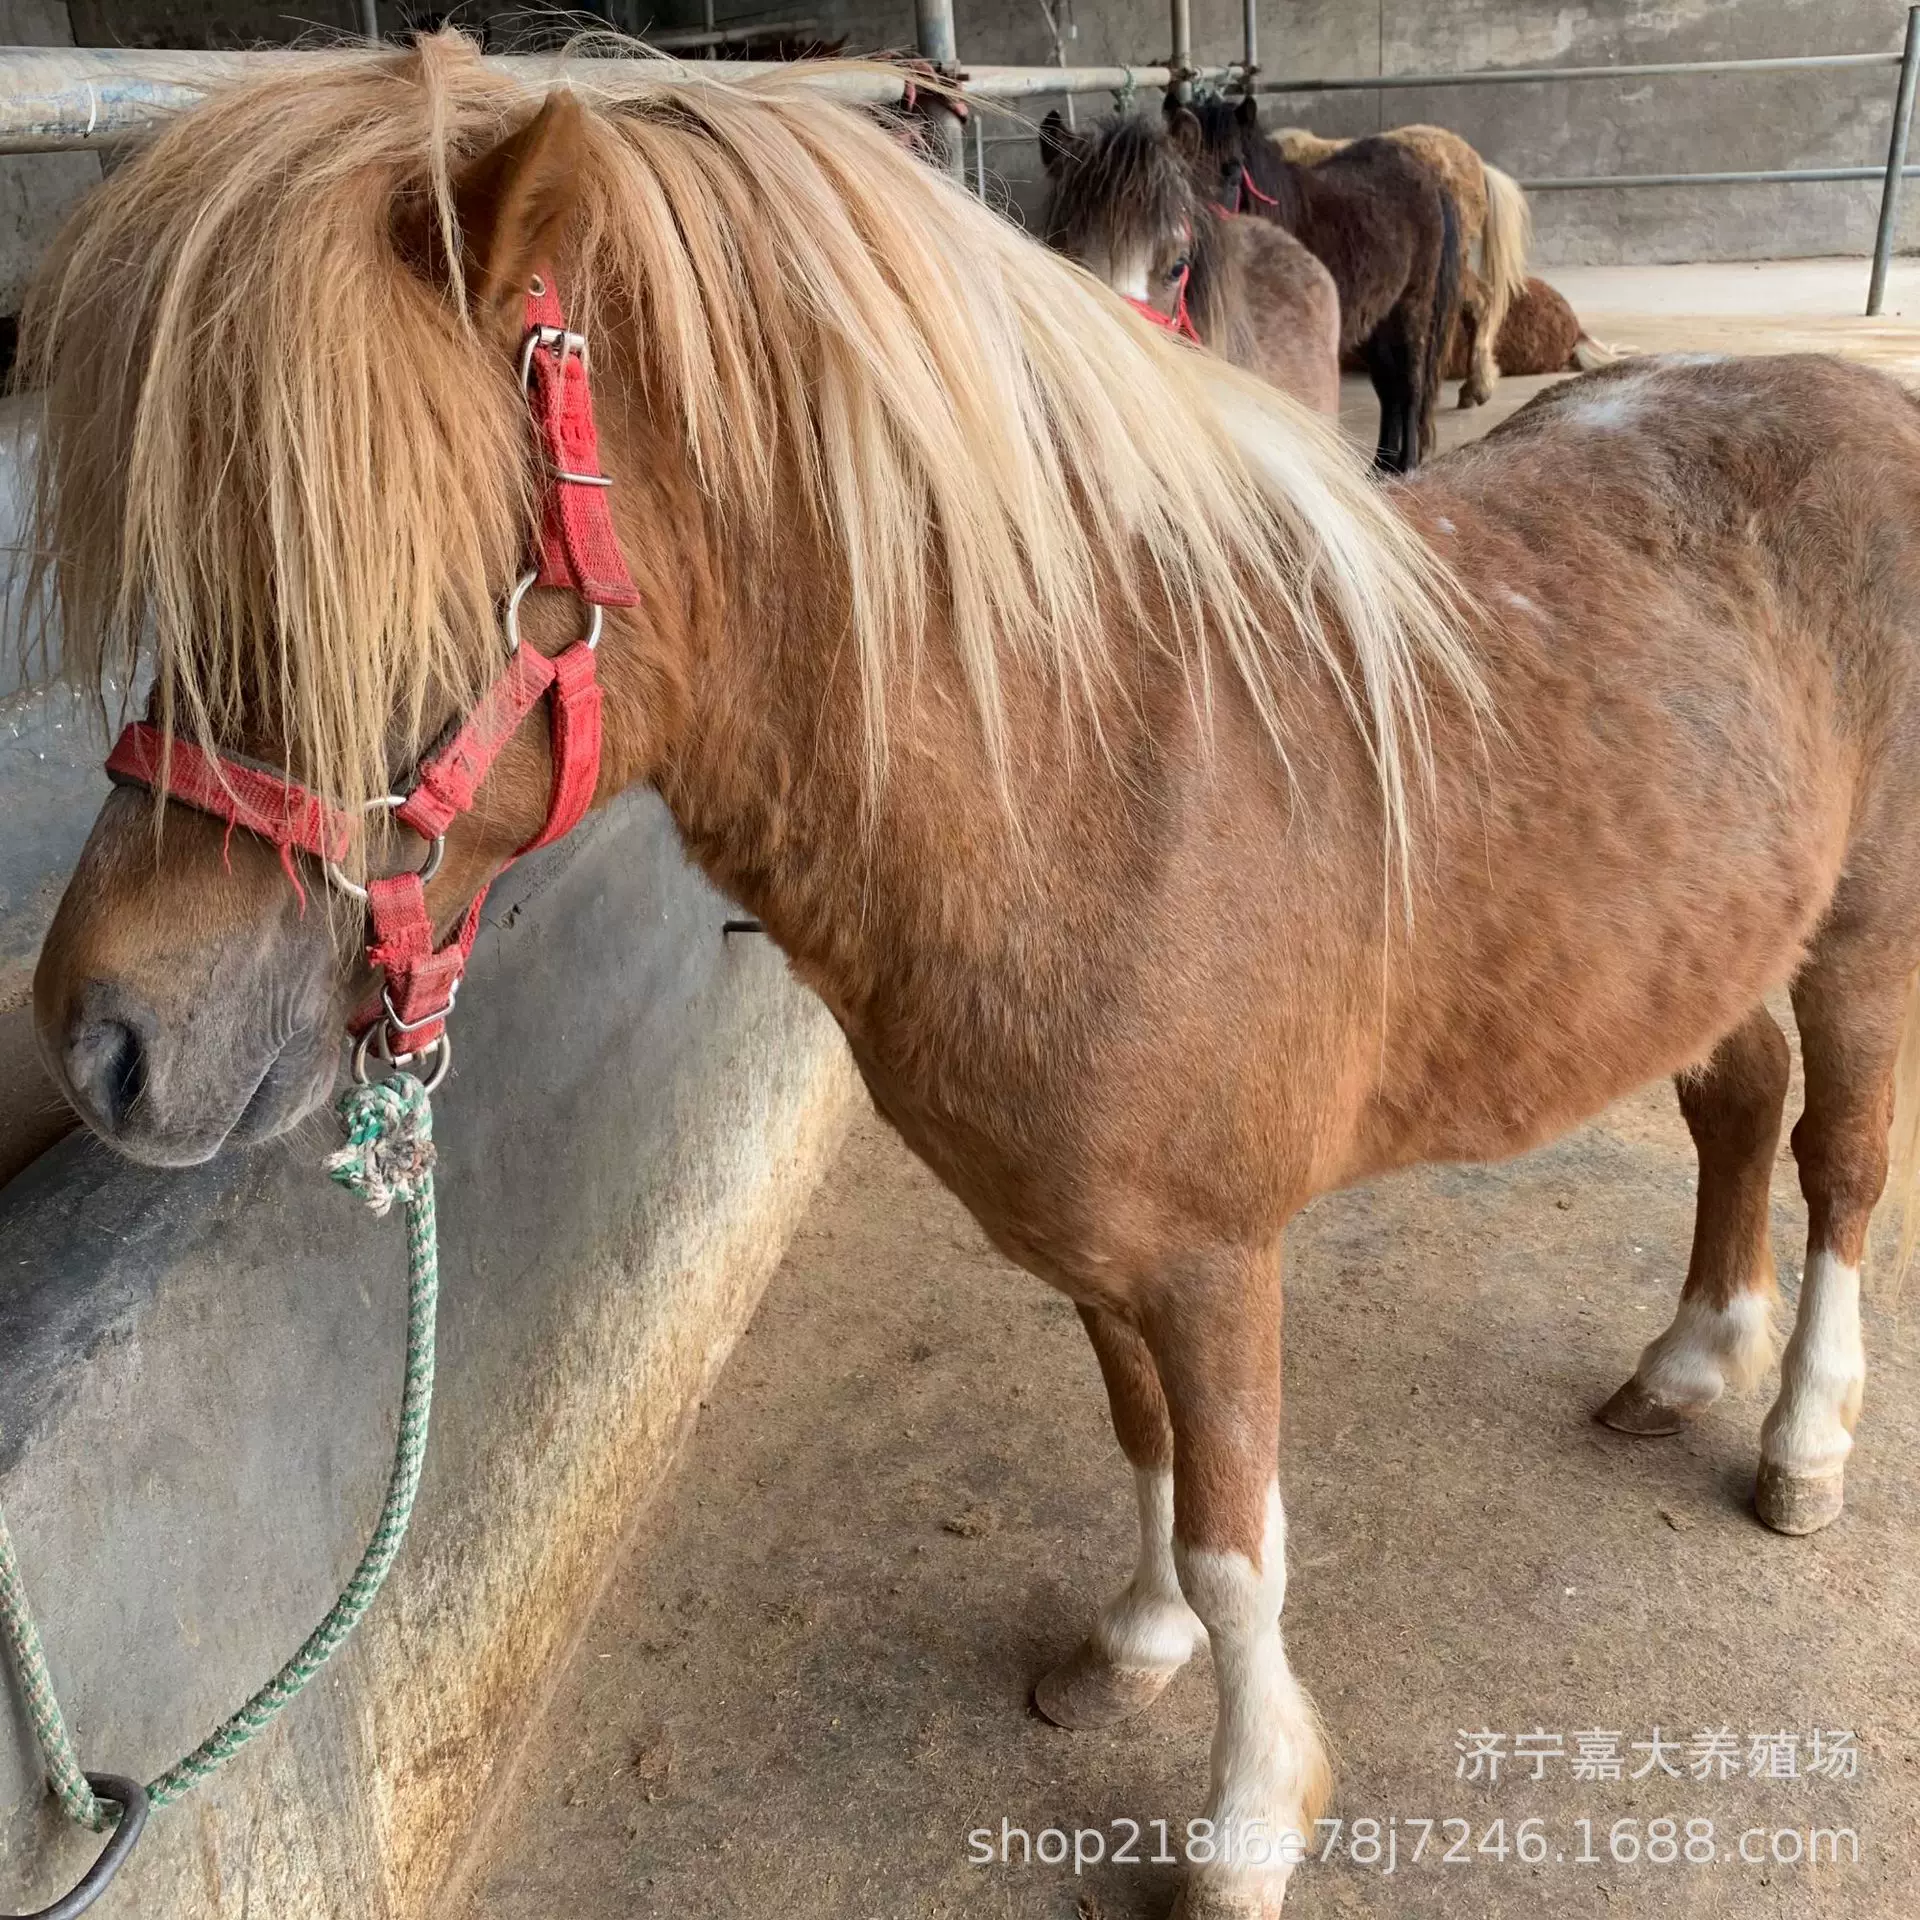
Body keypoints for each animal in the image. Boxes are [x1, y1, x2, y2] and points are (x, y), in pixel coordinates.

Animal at [1174, 94, 1460, 473]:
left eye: (1233, 171)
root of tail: (1430, 179)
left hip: (1413, 304)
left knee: (1411, 382)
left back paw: (1407, 463)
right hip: (1378, 319)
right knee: (1389, 387)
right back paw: (1380, 466)